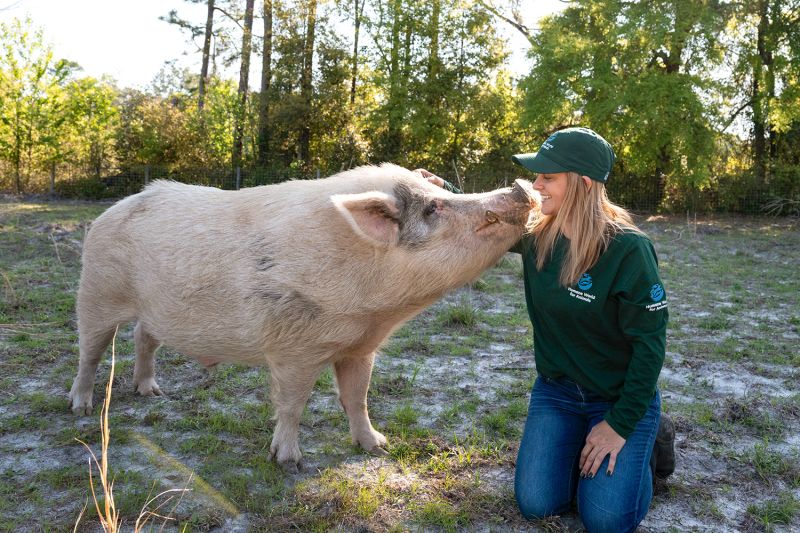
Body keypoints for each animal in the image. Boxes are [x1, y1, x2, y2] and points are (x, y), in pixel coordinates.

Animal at [68, 163, 537, 470]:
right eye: (433, 208)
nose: (519, 187)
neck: (374, 311)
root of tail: (112, 209)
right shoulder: (294, 345)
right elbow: (293, 403)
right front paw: (289, 463)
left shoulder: (360, 347)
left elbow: (357, 398)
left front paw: (377, 447)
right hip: (96, 291)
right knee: (90, 352)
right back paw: (82, 408)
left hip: (151, 310)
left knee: (143, 338)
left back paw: (152, 393)